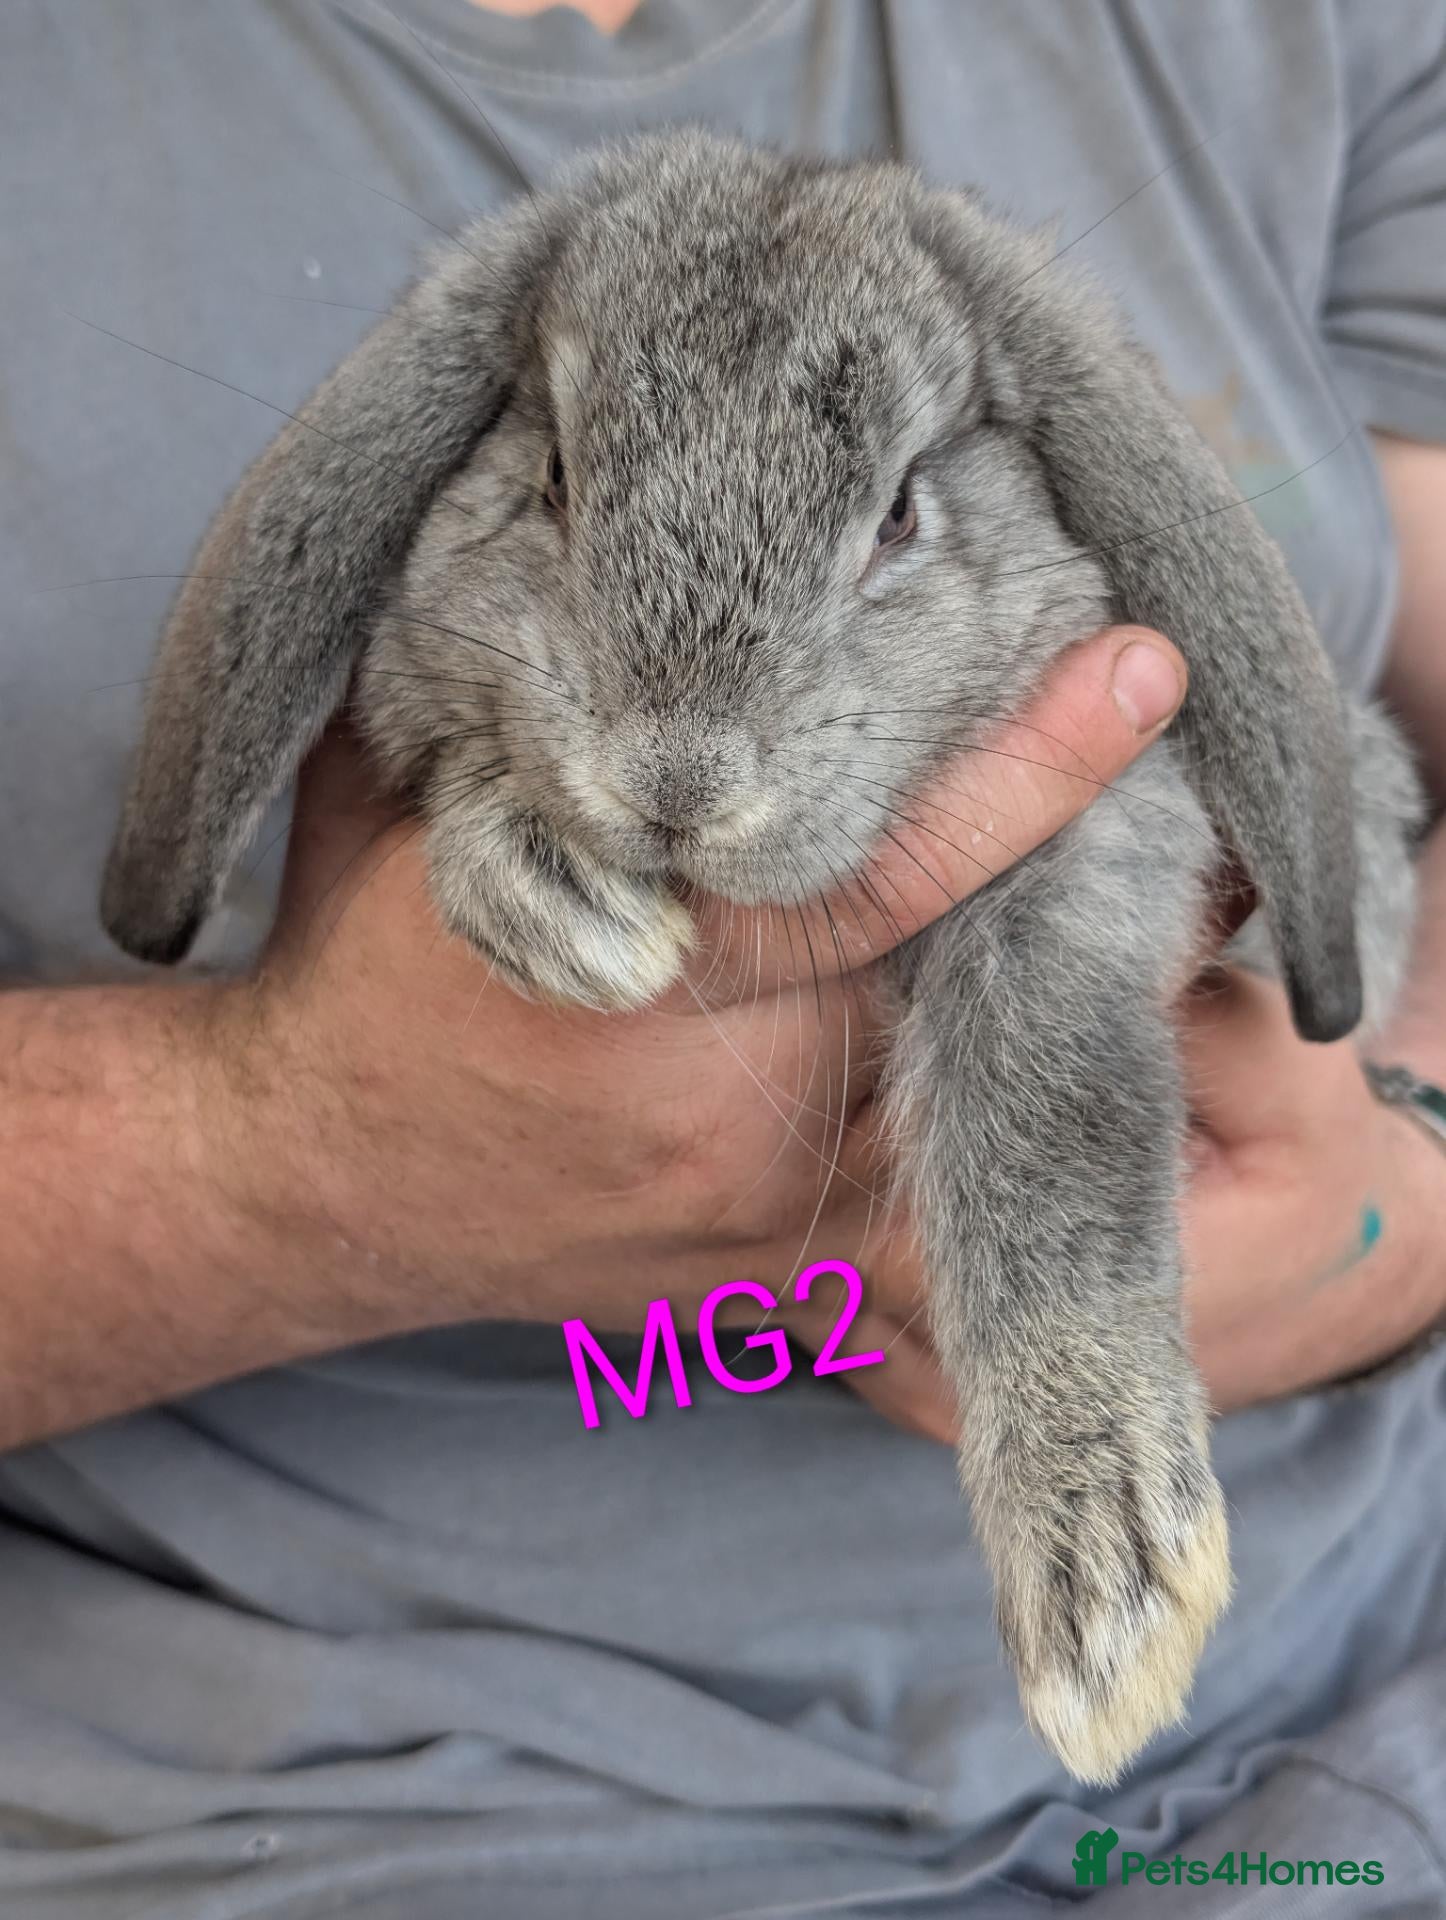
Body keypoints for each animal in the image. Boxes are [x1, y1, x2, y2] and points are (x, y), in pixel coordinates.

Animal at [101, 129, 1421, 1784]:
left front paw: (1109, 1605)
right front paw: (554, 898)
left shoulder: (1088, 869)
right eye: (550, 478)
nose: (674, 783)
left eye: (903, 514)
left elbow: (1042, 1134)